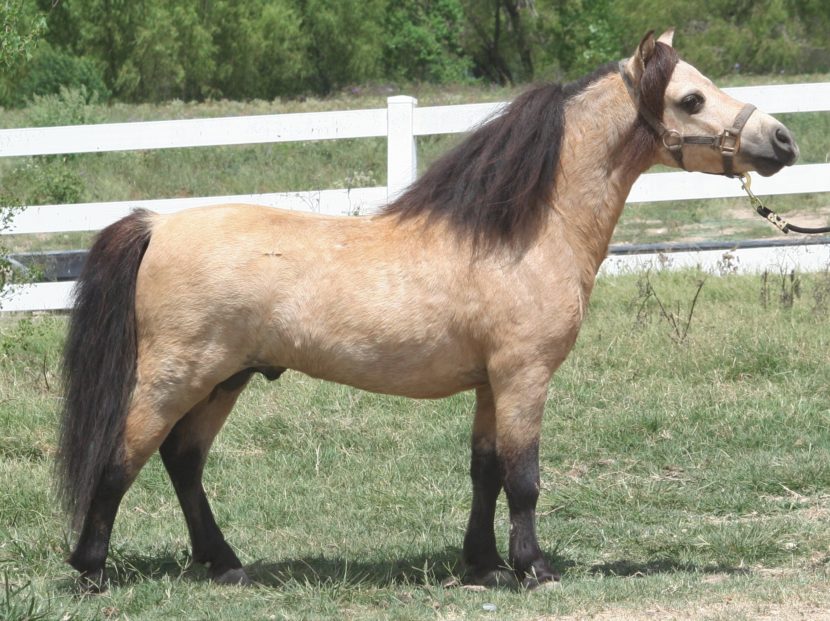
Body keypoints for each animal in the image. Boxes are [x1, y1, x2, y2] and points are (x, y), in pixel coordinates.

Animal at [56, 30, 799, 591]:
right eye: (690, 97)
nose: (783, 140)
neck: (527, 232)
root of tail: (157, 224)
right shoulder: (524, 376)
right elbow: (524, 477)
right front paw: (533, 568)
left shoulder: (491, 384)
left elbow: (486, 471)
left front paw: (484, 564)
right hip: (176, 375)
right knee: (123, 457)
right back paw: (91, 571)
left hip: (224, 379)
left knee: (182, 460)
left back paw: (226, 564)